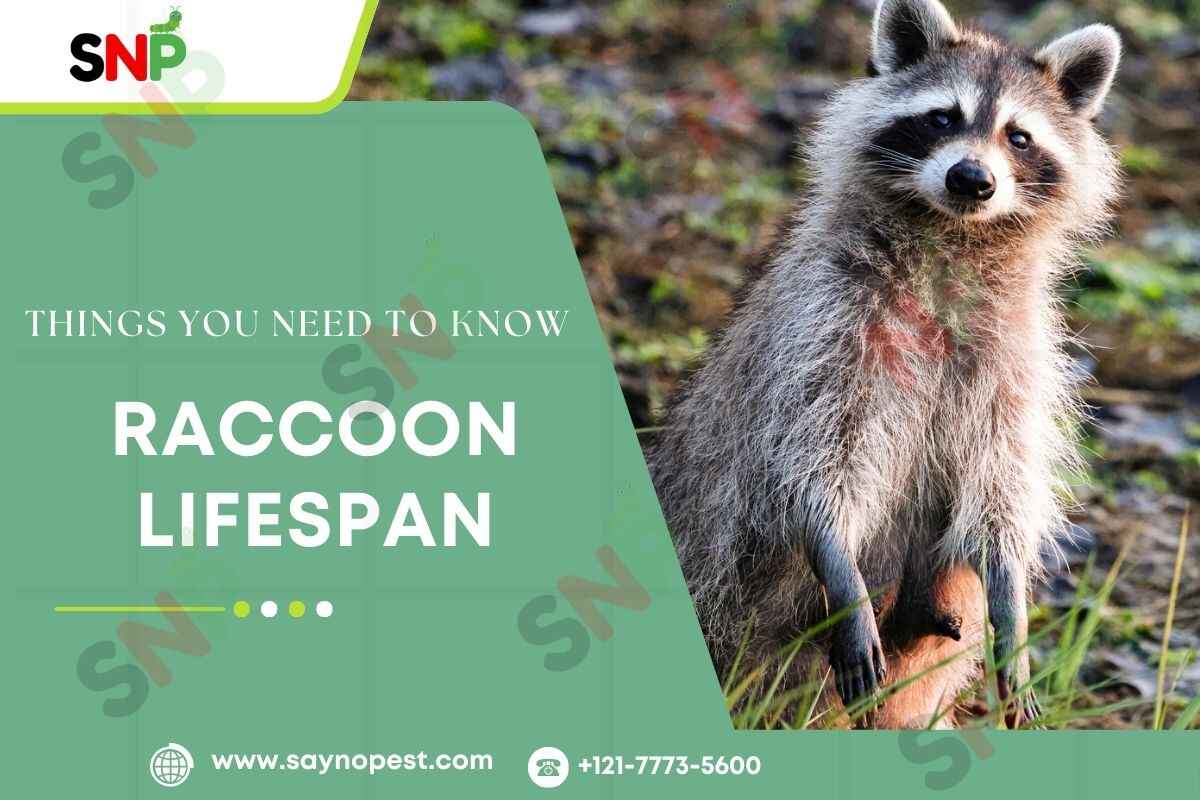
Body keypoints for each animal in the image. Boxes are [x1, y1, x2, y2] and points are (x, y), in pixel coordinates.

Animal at [648, 0, 1121, 728]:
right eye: (943, 117)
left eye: (1019, 137)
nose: (972, 179)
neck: (953, 236)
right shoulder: (825, 323)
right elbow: (813, 467)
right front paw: (838, 562)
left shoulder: (1014, 353)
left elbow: (1000, 488)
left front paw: (1011, 593)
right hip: (736, 592)